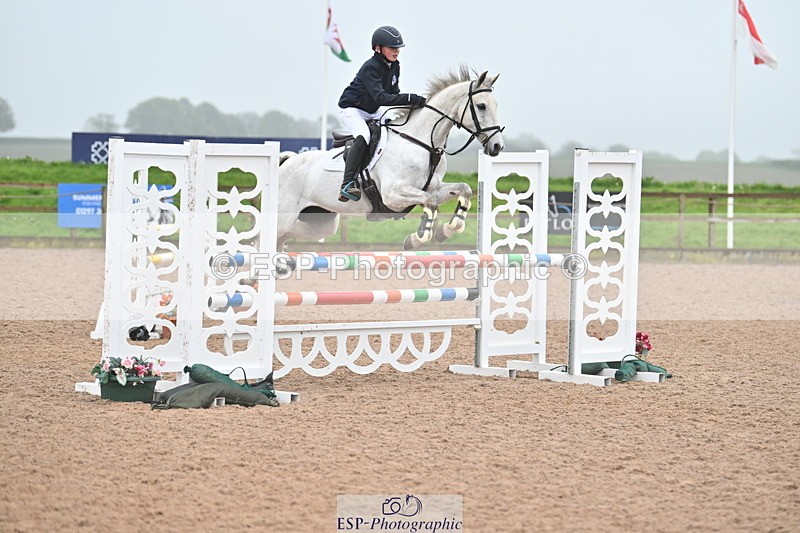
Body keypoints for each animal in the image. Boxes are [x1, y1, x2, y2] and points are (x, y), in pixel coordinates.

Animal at [276, 66, 505, 251]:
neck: (423, 143)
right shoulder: (392, 195)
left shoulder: (432, 188)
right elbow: (429, 202)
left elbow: (462, 190)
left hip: (320, 222)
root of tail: (286, 162)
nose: (497, 146)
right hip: (286, 216)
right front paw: (418, 237)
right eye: (481, 106)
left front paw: (445, 231)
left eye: (496, 105)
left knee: (283, 238)